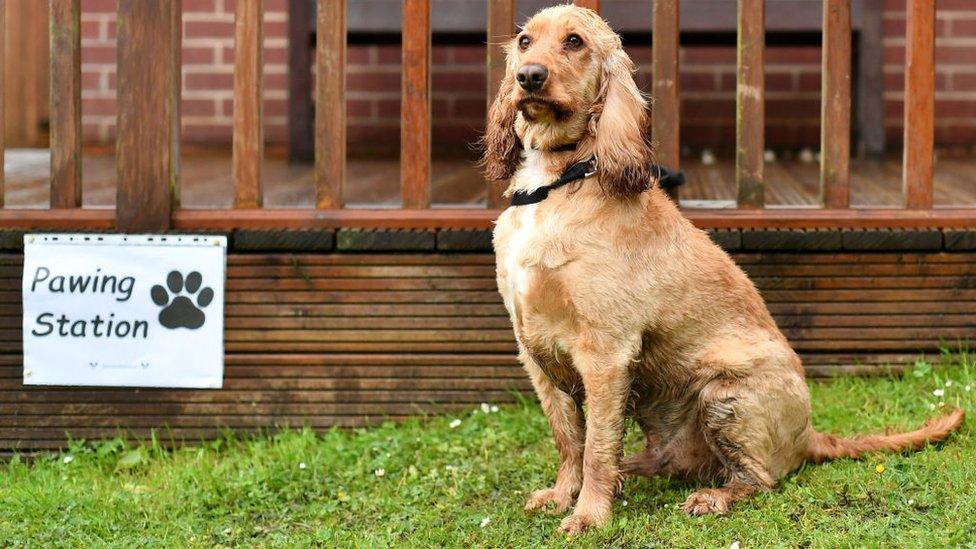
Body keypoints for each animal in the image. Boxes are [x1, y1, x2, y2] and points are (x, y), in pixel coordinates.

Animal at [480, 5, 960, 536]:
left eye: (574, 42)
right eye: (525, 41)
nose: (528, 77)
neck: (556, 184)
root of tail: (809, 433)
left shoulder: (605, 353)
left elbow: (597, 449)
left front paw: (588, 514)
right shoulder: (534, 348)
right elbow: (569, 438)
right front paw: (564, 496)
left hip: (723, 396)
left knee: (758, 480)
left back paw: (712, 497)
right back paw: (640, 470)